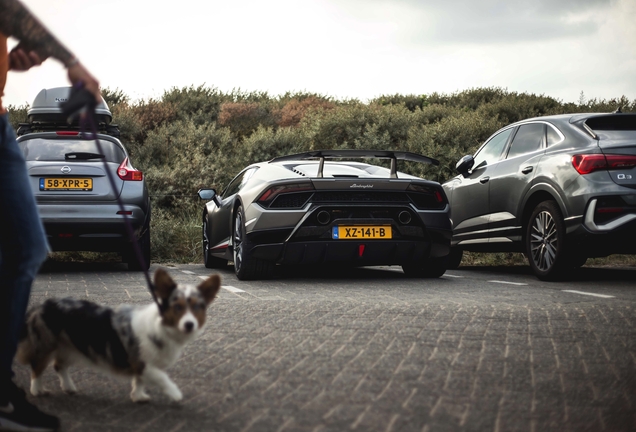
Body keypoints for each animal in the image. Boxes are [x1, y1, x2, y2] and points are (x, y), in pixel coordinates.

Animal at [17, 268, 221, 404]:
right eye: (177, 307)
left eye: (198, 307)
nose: (189, 324)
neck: (163, 327)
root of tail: (41, 306)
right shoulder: (141, 363)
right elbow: (161, 376)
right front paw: (175, 393)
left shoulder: (141, 368)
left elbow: (139, 381)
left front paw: (138, 397)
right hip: (45, 345)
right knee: (37, 367)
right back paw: (37, 391)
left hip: (70, 347)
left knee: (59, 366)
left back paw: (69, 388)